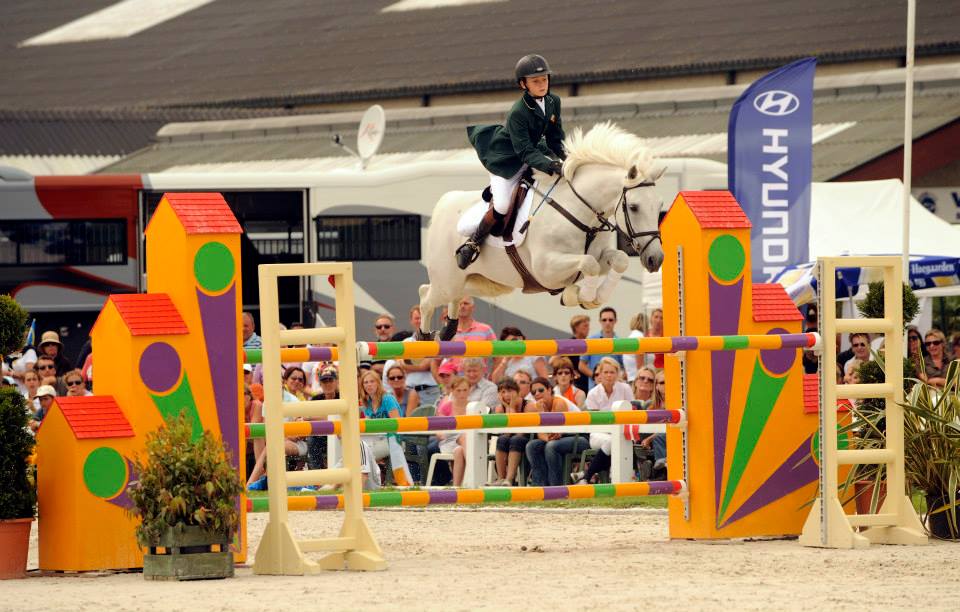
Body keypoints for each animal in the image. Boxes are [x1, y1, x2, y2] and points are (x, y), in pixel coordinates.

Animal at [416, 120, 664, 340]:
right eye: (634, 207)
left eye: (660, 206)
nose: (656, 259)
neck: (578, 209)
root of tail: (443, 205)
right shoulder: (546, 269)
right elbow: (588, 264)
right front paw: (581, 296)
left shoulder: (598, 256)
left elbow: (618, 260)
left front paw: (585, 297)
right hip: (447, 281)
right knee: (426, 297)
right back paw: (424, 336)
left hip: (485, 283)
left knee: (452, 295)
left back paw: (448, 329)